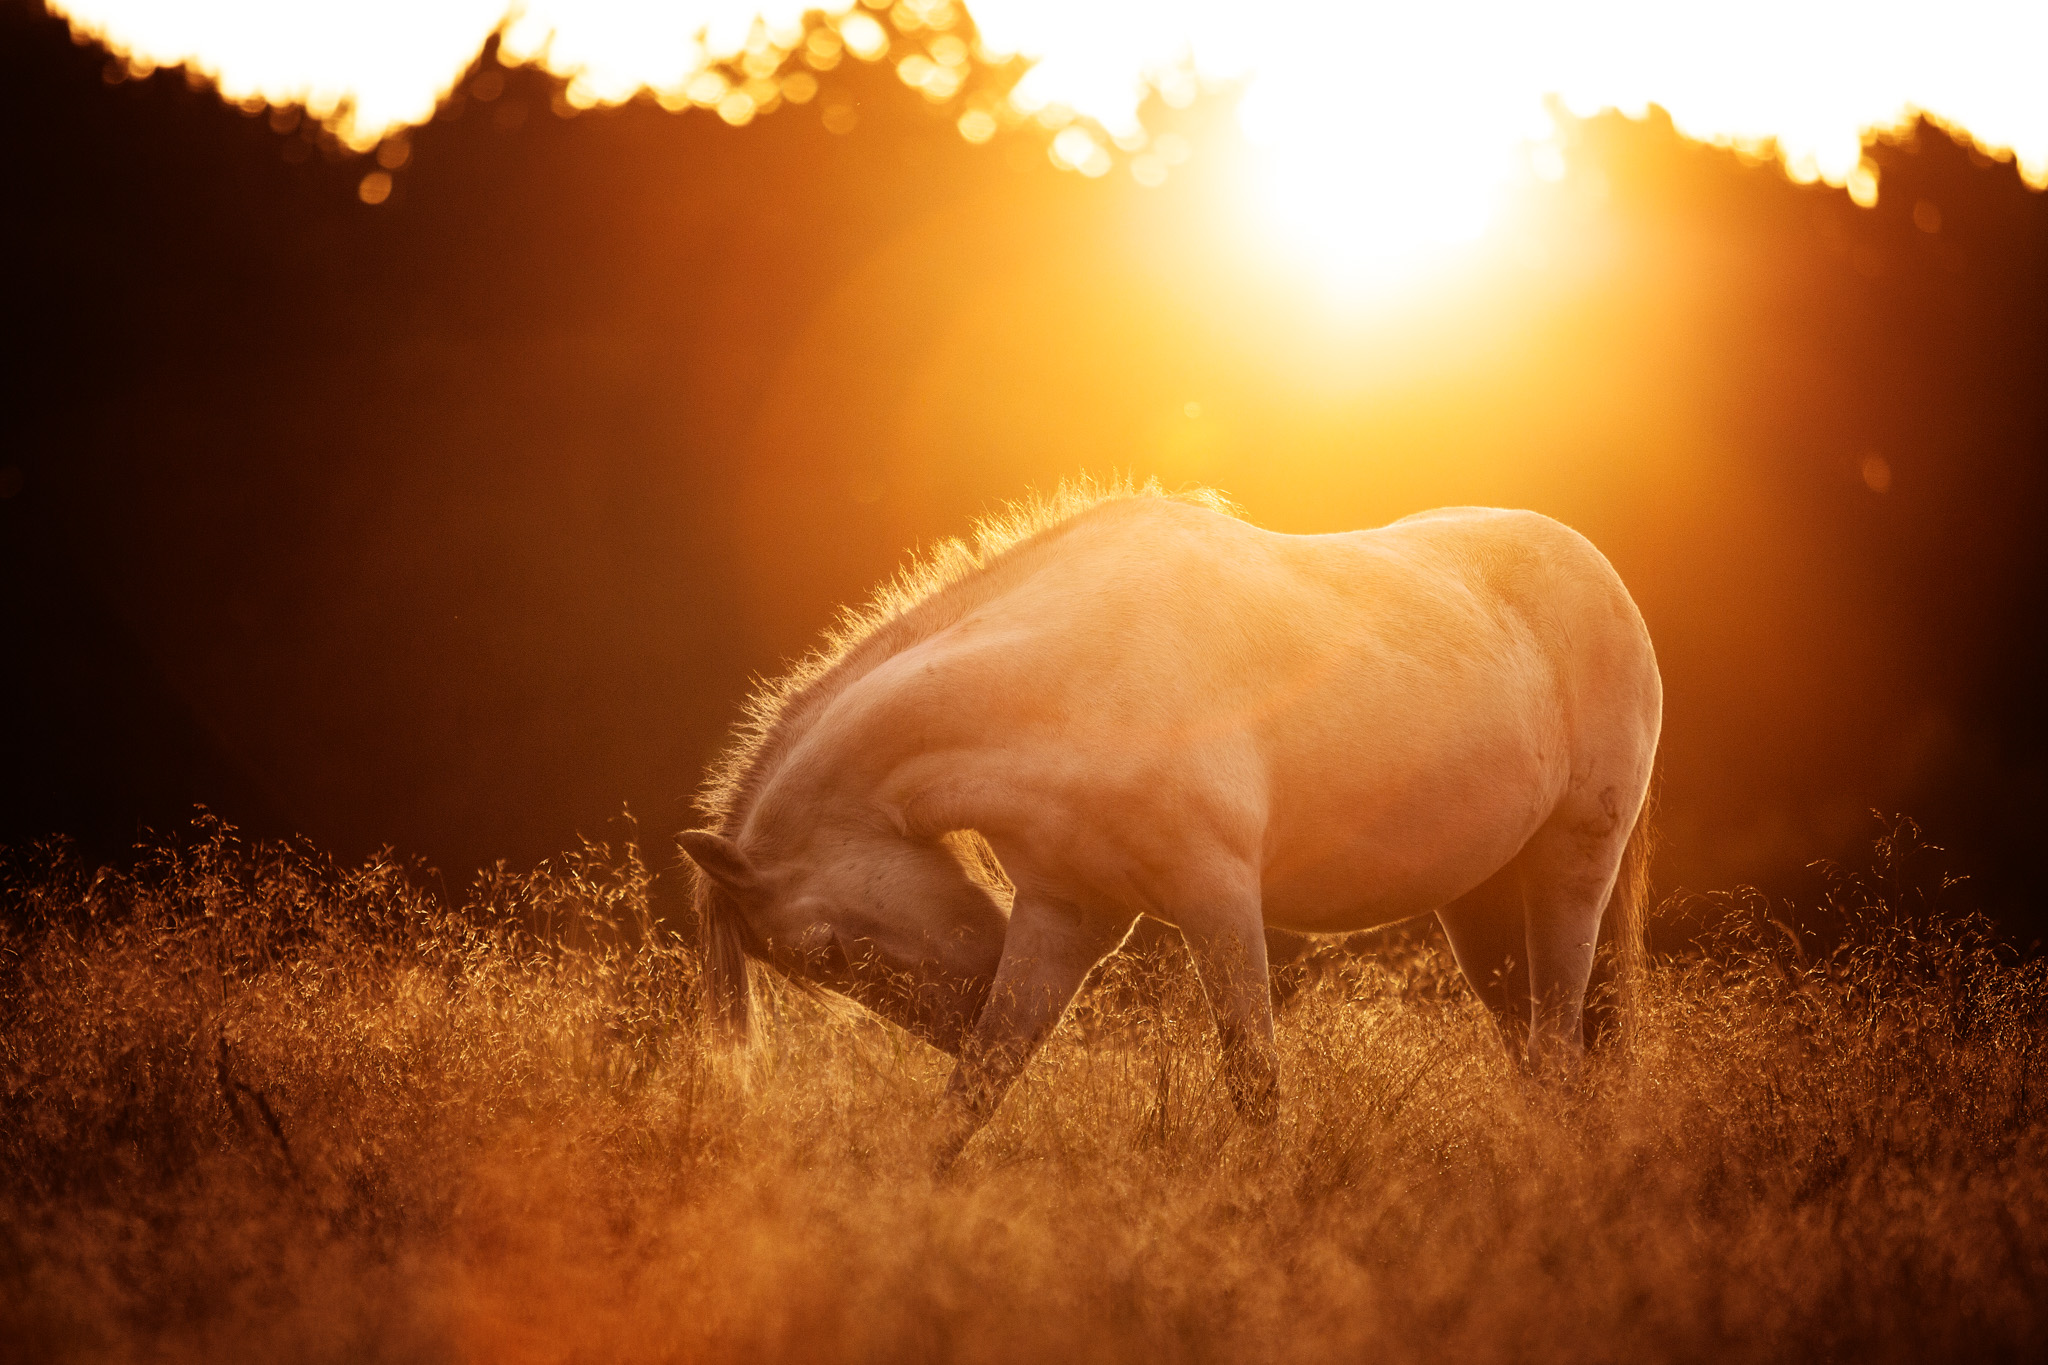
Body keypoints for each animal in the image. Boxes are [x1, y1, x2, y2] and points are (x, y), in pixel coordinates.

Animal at [679, 480, 1654, 1162]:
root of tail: (1602, 575)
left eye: (823, 953)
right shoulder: (1064, 918)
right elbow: (975, 1089)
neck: (1069, 681)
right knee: (1537, 1060)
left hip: (1571, 872)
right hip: (1479, 904)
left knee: (1559, 1049)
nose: (961, 1006)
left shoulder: (1217, 901)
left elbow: (1254, 1083)